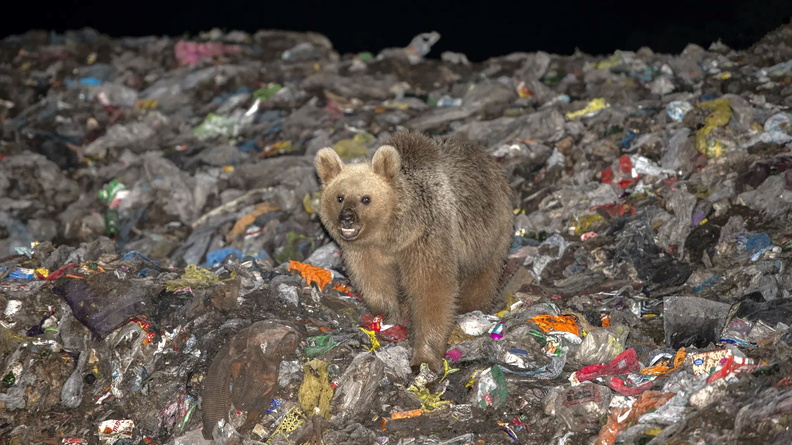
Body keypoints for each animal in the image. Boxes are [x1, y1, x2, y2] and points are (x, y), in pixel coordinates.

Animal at [314, 132, 514, 372]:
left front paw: (425, 356)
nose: (347, 218)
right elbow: (374, 282)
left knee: (482, 274)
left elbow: (432, 290)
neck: (390, 237)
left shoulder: (425, 240)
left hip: (489, 231)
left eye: (365, 198)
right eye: (340, 197)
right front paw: (390, 315)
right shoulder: (364, 251)